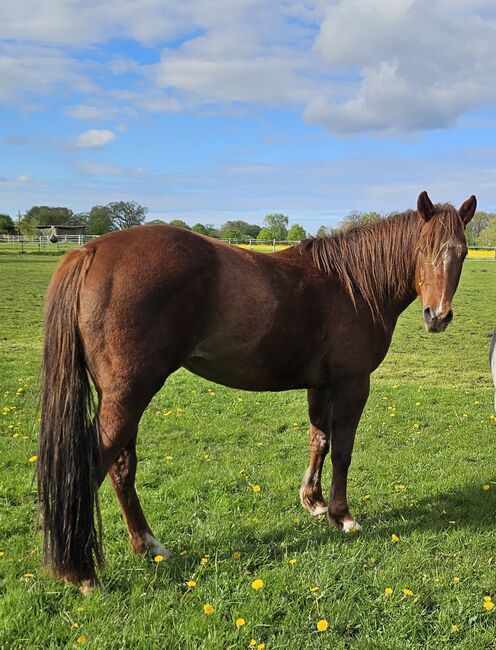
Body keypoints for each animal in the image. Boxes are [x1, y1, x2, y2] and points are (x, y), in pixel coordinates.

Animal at [37, 190, 476, 584]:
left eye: (463, 253)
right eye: (424, 249)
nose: (437, 316)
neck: (352, 285)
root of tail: (91, 251)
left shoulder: (320, 385)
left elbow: (320, 441)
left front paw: (313, 502)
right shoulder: (352, 384)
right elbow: (343, 451)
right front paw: (342, 516)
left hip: (122, 397)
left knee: (121, 467)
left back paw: (147, 545)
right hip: (130, 395)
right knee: (96, 463)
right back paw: (81, 572)